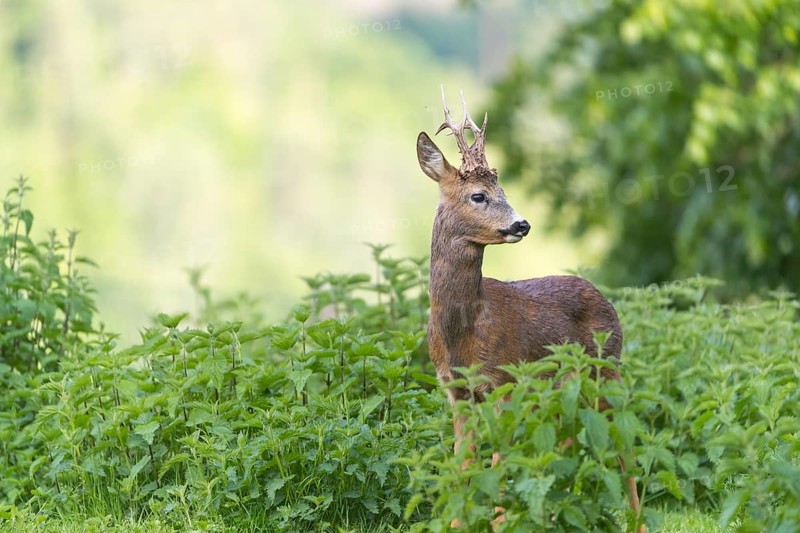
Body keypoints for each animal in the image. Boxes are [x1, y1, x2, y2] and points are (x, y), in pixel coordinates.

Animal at [416, 88, 643, 531]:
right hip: (563, 390)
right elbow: (462, 469)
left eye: (504, 191)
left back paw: (636, 521)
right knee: (568, 439)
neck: (463, 331)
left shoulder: (505, 380)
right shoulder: (456, 390)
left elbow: (500, 470)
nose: (522, 224)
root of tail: (603, 295)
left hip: (605, 369)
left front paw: (502, 521)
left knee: (624, 442)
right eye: (479, 196)